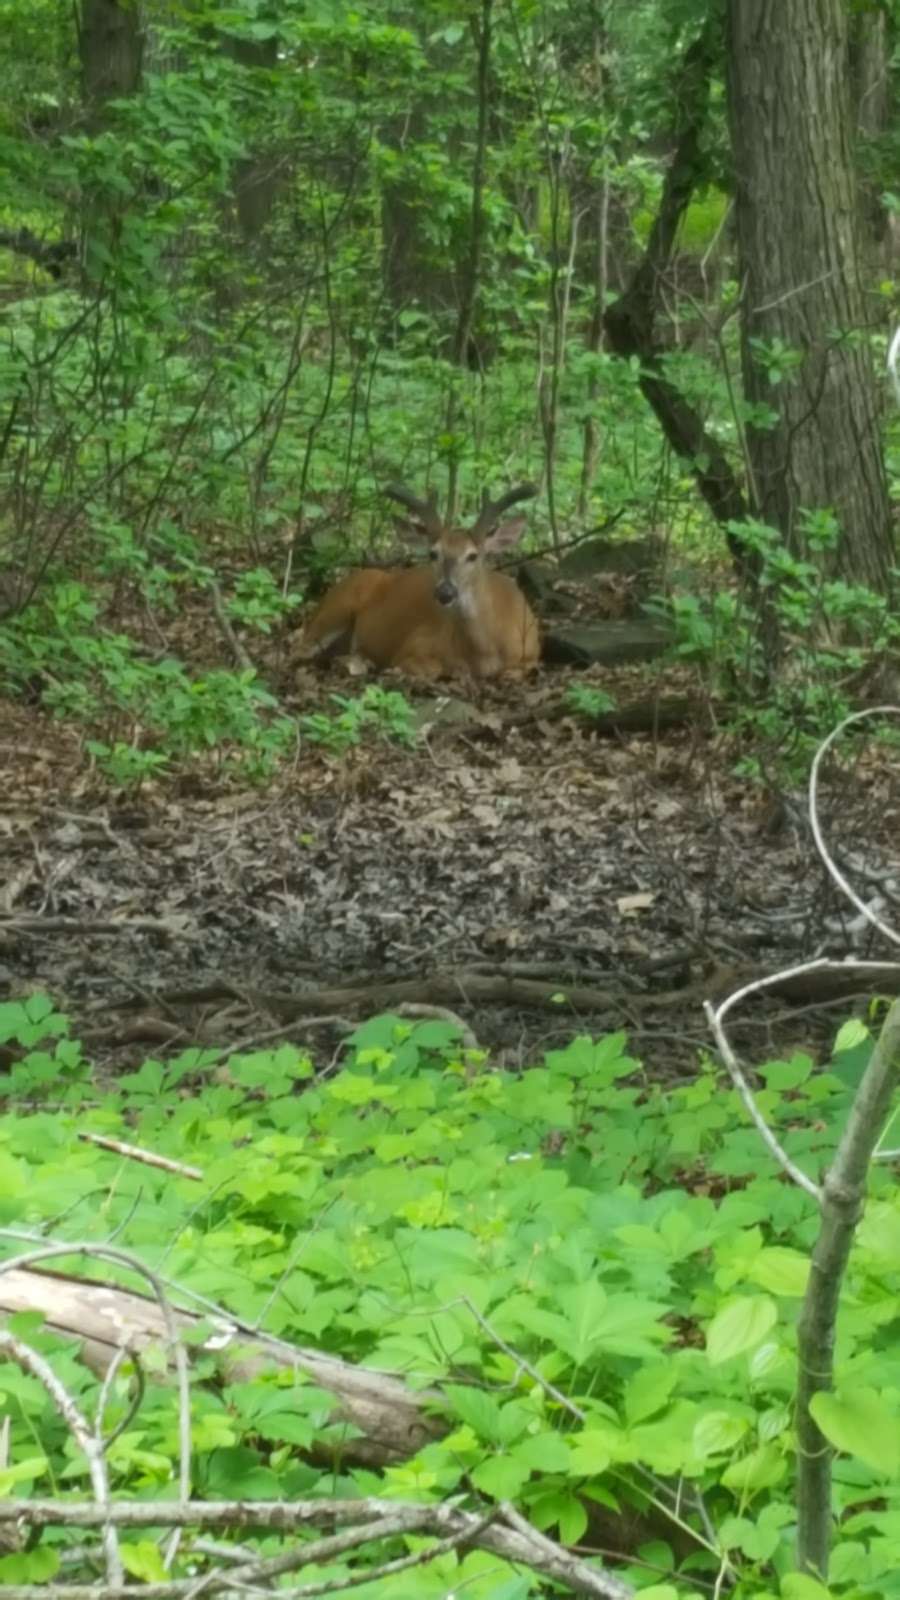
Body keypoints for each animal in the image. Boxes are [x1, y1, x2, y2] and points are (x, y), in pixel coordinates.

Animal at [294, 473, 534, 675]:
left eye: (473, 555)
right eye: (433, 553)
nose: (445, 592)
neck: (485, 654)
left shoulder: (530, 655)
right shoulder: (412, 646)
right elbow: (432, 668)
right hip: (335, 609)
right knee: (299, 651)